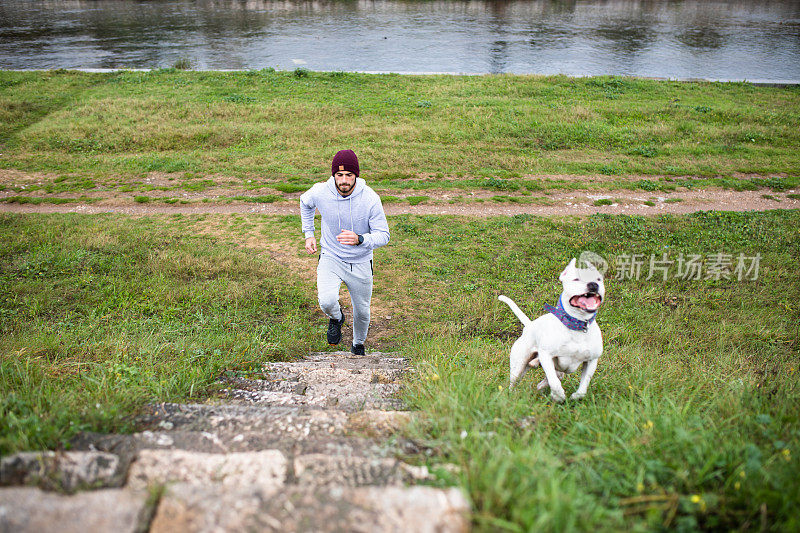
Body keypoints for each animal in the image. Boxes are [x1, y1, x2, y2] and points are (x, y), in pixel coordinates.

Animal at [496, 258, 604, 404]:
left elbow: (583, 386)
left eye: (599, 279)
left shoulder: (591, 361)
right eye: (576, 279)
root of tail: (530, 325)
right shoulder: (547, 356)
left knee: (556, 376)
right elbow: (554, 382)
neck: (577, 325)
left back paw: (541, 383)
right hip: (519, 365)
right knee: (515, 382)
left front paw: (575, 396)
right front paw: (558, 396)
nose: (593, 284)